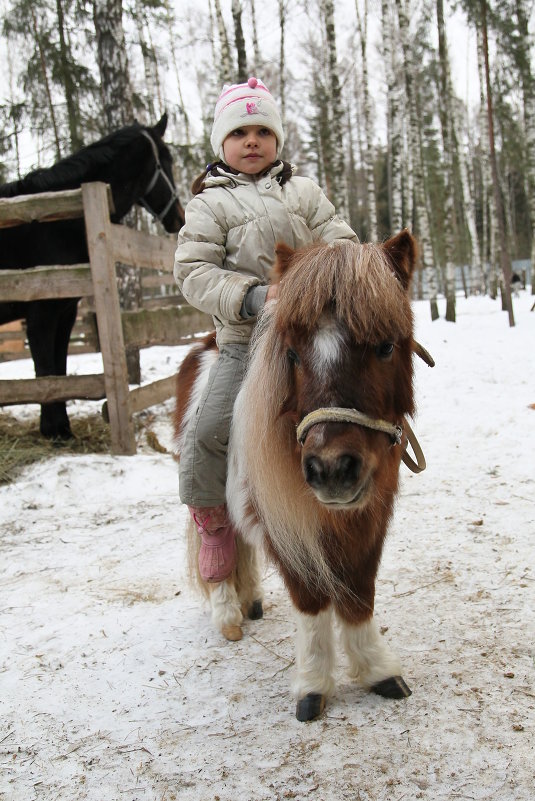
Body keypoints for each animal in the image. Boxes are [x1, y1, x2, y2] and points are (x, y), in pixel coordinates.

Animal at [0, 112, 184, 438]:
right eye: (167, 160)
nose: (178, 216)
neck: (59, 224)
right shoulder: (40, 314)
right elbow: (46, 371)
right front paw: (54, 431)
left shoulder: (65, 313)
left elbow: (60, 367)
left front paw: (61, 428)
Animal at [176, 230, 432, 720]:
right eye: (292, 353)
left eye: (386, 347)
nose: (330, 468)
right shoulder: (285, 527)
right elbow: (312, 601)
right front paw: (313, 686)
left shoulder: (369, 522)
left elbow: (358, 593)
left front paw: (377, 671)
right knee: (215, 529)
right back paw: (228, 612)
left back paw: (251, 599)